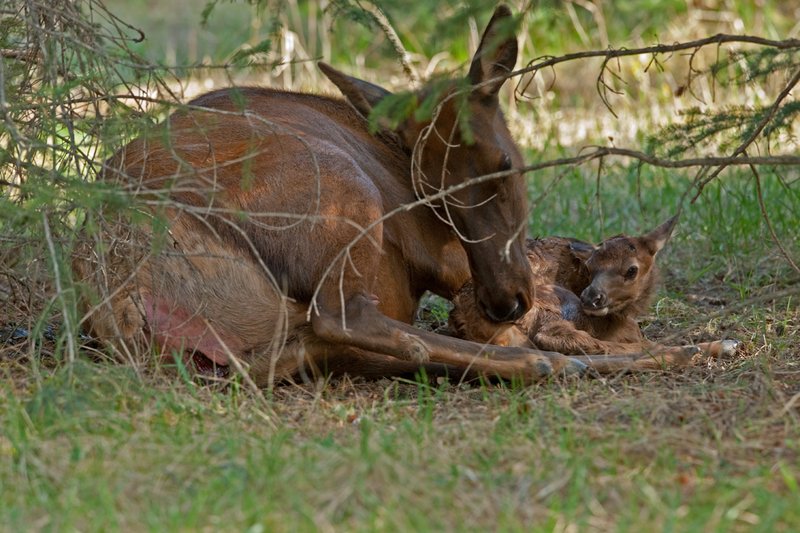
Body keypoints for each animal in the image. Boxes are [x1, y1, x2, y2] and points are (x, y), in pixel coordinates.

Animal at [72, 5, 705, 387]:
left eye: (502, 167)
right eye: (434, 194)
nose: (504, 301)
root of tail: (118, 286)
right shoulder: (442, 255)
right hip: (340, 190)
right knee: (346, 317)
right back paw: (585, 357)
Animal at [449, 216, 739, 367]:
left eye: (631, 270)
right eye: (590, 267)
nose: (591, 297)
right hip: (548, 304)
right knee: (567, 340)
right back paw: (706, 348)